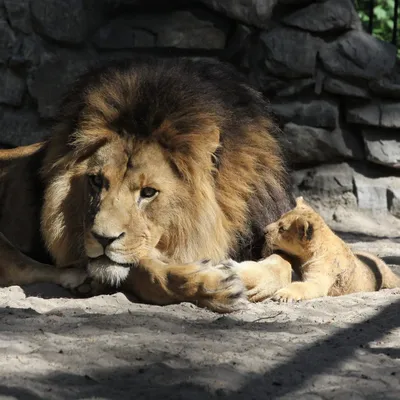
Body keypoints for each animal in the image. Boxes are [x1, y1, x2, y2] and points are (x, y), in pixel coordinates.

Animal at [0, 56, 294, 312]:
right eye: (97, 181)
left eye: (148, 192)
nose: (103, 239)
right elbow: (146, 272)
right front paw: (210, 284)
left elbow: (284, 263)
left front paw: (242, 273)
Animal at [262, 197, 400, 304]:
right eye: (278, 219)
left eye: (282, 229)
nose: (264, 230)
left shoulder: (320, 278)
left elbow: (301, 286)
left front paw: (282, 295)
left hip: (387, 276)